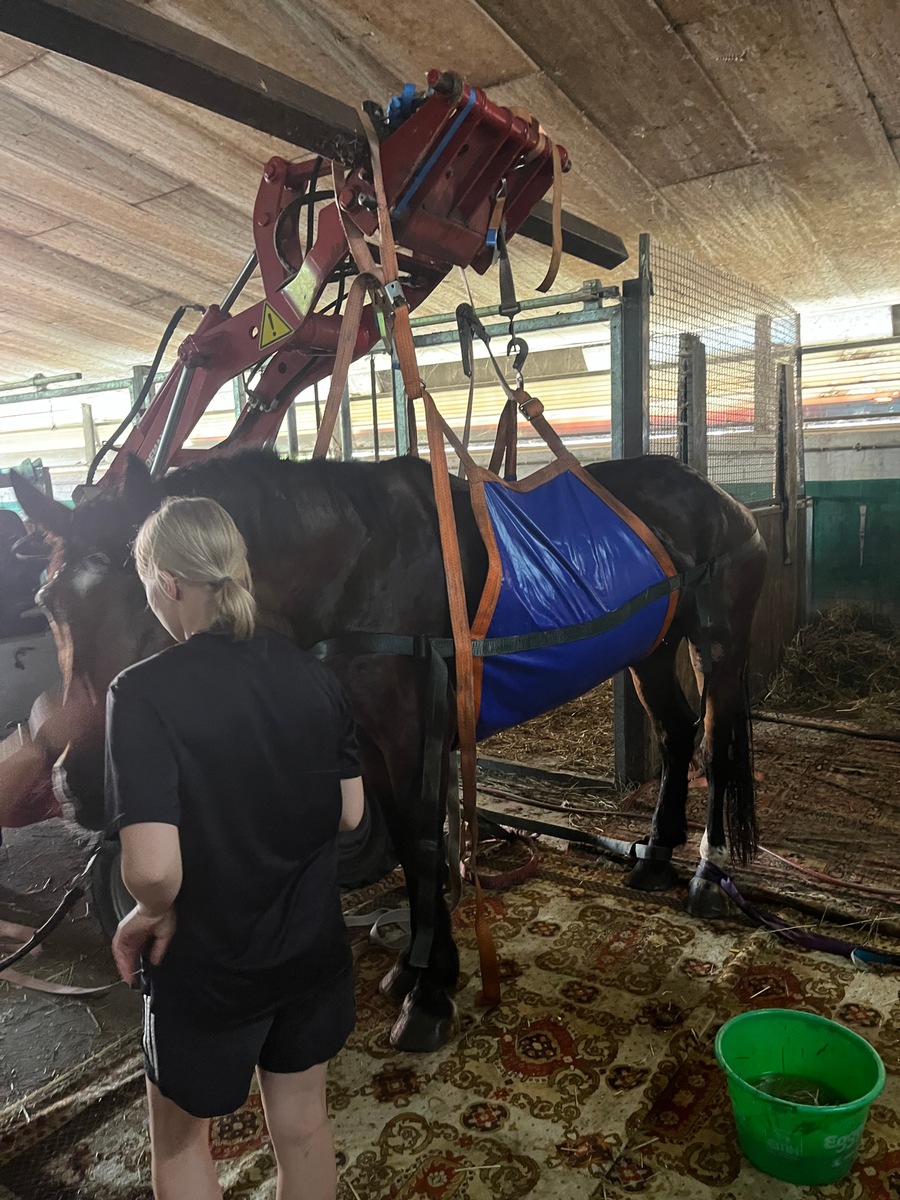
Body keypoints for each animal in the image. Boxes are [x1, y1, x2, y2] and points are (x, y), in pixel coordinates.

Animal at [7, 451, 768, 1051]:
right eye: (46, 604)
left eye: (149, 601)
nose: (80, 784)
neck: (353, 567)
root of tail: (719, 496)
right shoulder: (369, 744)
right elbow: (407, 847)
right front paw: (417, 968)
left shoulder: (409, 737)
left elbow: (423, 846)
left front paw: (429, 995)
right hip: (652, 650)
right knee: (676, 735)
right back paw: (657, 857)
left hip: (720, 647)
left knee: (717, 749)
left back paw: (707, 874)